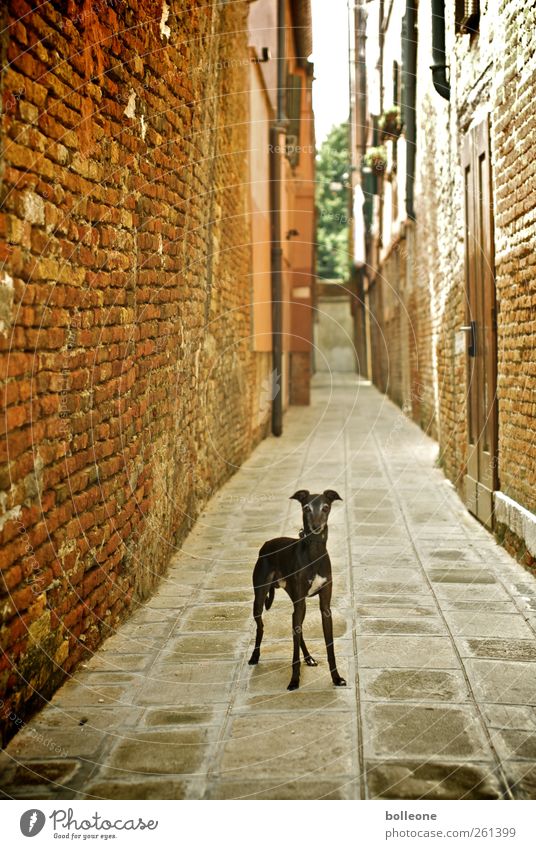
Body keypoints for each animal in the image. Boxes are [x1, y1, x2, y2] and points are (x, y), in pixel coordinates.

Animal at [248, 490, 348, 688]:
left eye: (326, 507)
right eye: (306, 508)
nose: (316, 527)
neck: (314, 553)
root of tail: (266, 544)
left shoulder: (325, 608)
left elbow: (329, 646)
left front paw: (336, 677)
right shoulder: (300, 601)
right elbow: (294, 649)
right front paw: (294, 680)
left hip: (297, 602)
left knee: (297, 628)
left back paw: (308, 658)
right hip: (260, 598)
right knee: (261, 627)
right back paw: (255, 656)